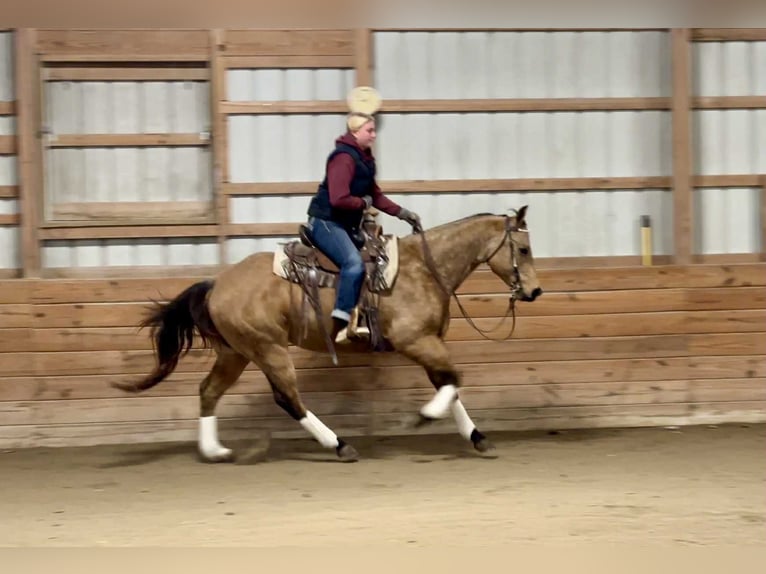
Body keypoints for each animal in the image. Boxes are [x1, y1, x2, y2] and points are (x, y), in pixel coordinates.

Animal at [113, 207, 543, 463]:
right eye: (522, 248)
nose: (534, 291)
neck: (424, 268)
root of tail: (217, 282)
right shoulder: (416, 341)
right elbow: (454, 380)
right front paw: (425, 416)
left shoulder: (429, 343)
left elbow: (449, 385)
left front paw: (477, 437)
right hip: (267, 348)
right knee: (288, 398)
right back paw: (339, 444)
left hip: (237, 351)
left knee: (209, 391)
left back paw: (215, 450)